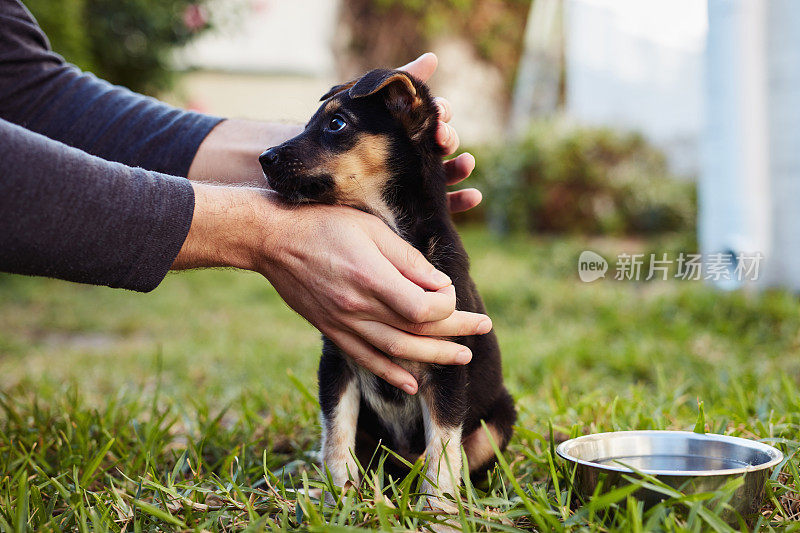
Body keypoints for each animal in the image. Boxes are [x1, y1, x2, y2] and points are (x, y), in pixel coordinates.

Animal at [260, 67, 516, 502]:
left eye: (337, 123)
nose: (263, 158)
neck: (392, 228)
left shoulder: (448, 366)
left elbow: (443, 446)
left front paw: (437, 506)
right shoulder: (338, 360)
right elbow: (336, 434)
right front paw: (339, 493)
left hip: (498, 419)